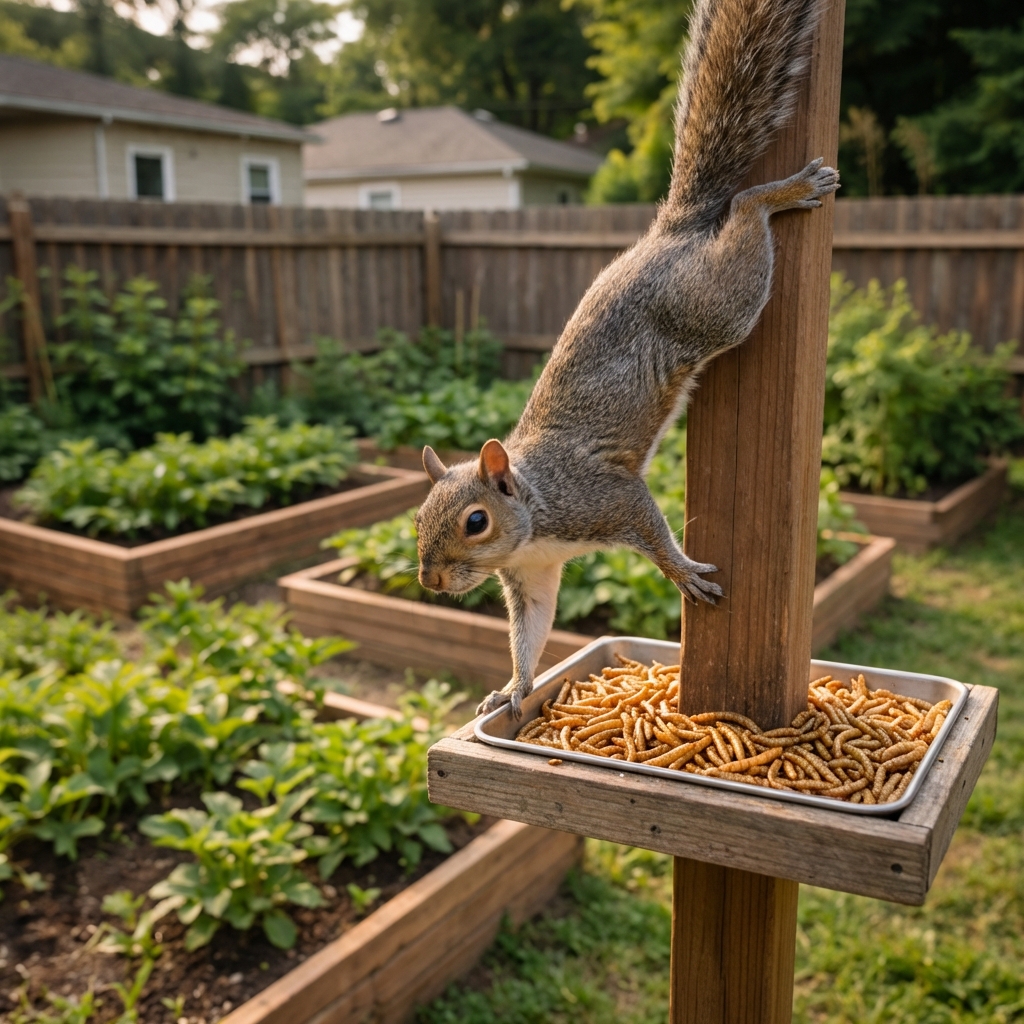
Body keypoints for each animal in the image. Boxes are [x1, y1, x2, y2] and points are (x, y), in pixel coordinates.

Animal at [414, 0, 839, 719]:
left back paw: (782, 192)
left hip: (716, 305)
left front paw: (681, 572)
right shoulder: (531, 576)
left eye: (475, 521)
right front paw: (513, 687)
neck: (532, 516)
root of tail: (666, 232)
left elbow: (648, 522)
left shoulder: (602, 499)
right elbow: (533, 629)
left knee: (743, 213)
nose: (432, 581)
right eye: (418, 517)